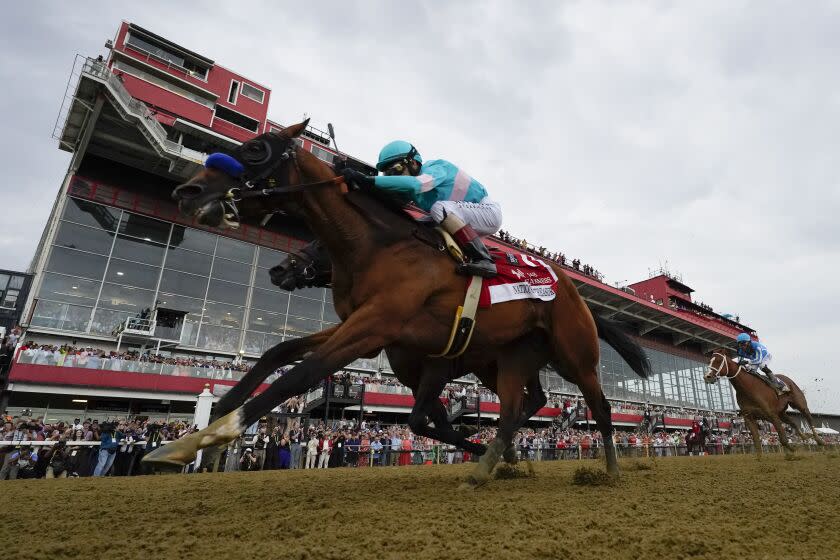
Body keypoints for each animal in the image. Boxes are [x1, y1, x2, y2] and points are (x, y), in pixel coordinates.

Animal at [143, 122, 648, 486]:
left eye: (256, 149)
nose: (187, 192)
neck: (378, 245)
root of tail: (575, 292)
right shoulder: (369, 330)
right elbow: (278, 352)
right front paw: (201, 429)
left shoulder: (380, 328)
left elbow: (303, 375)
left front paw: (216, 432)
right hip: (513, 357)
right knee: (514, 410)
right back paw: (490, 462)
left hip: (574, 354)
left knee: (600, 408)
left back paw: (608, 471)